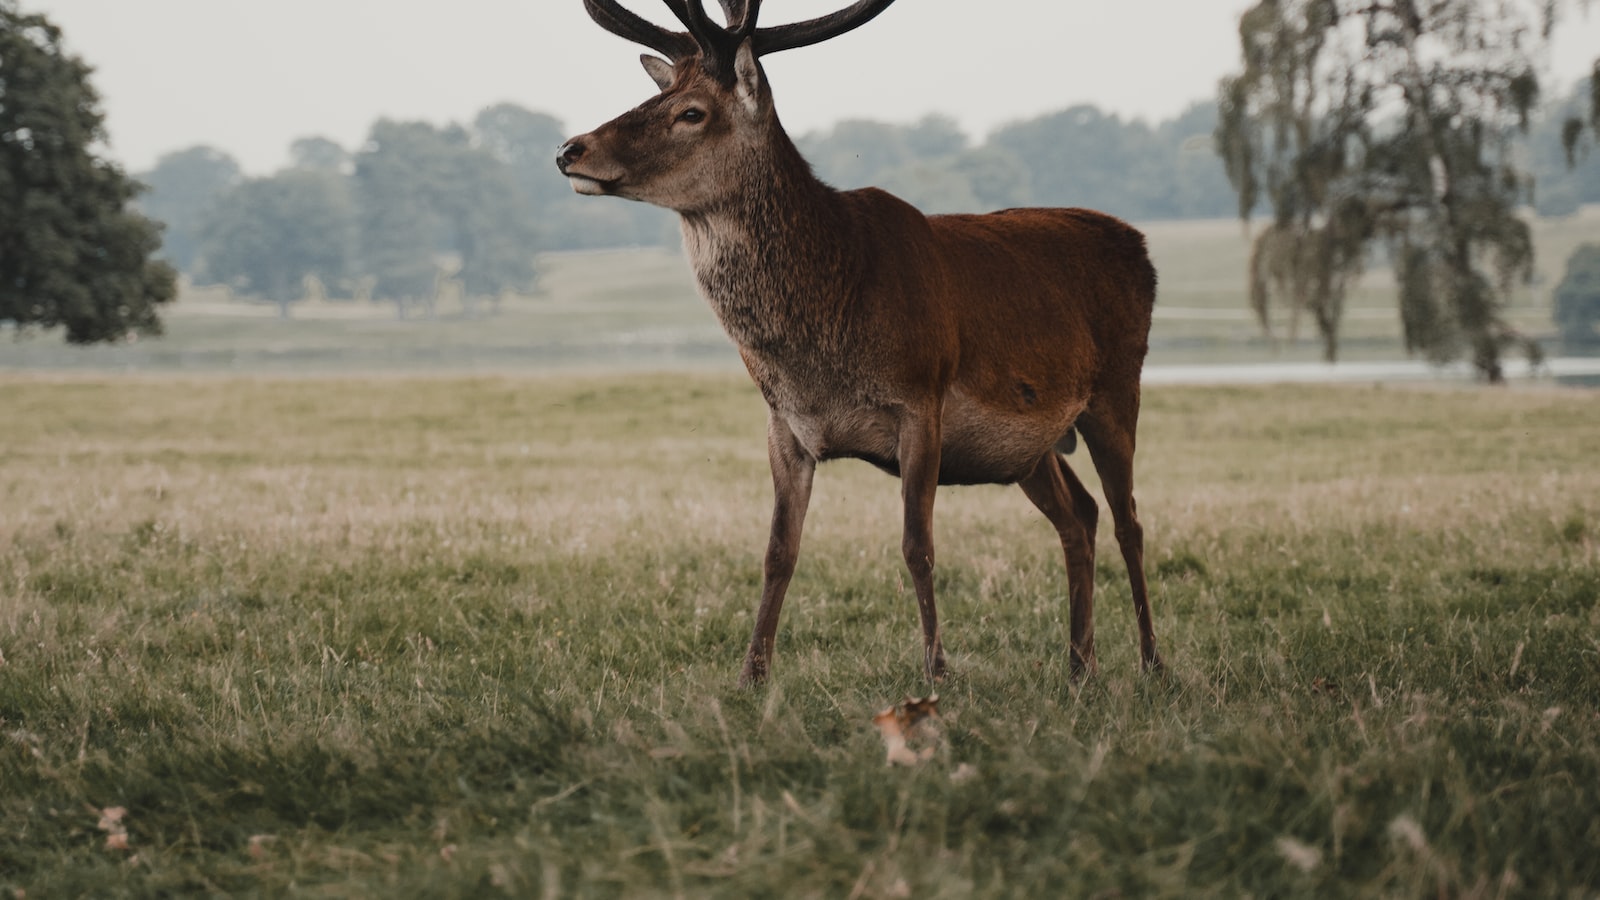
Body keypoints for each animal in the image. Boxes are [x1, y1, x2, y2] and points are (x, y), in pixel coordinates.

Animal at [563, 0, 1164, 682]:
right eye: (652, 92)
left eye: (692, 112)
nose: (570, 149)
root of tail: (1140, 245)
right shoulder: (785, 423)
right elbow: (778, 550)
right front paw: (751, 674)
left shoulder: (922, 400)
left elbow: (917, 545)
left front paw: (936, 670)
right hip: (1030, 449)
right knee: (1081, 514)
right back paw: (1078, 664)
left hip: (1118, 386)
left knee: (1129, 519)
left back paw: (1150, 661)